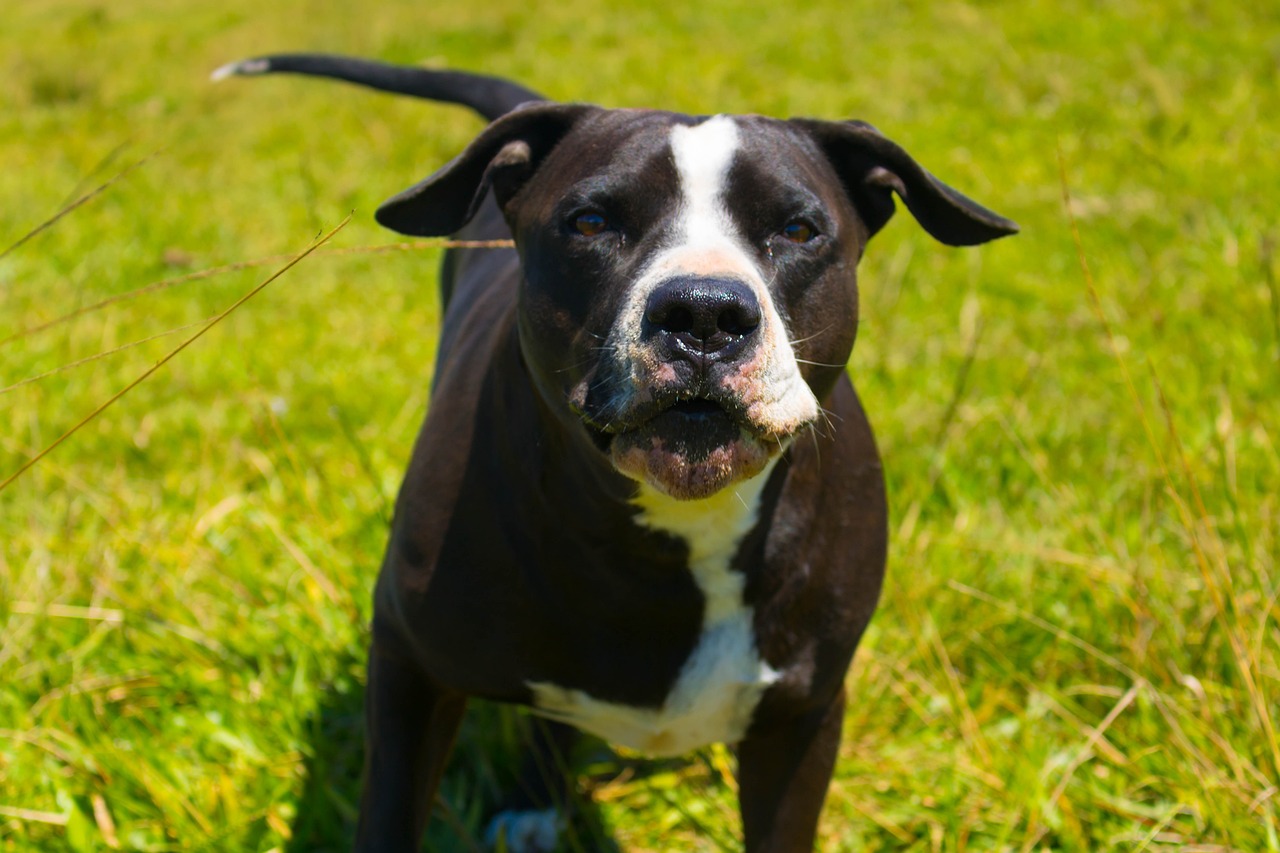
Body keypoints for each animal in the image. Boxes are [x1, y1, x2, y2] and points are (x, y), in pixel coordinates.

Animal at [215, 54, 1013, 850]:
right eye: (592, 222)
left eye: (797, 229)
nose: (704, 312)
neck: (670, 538)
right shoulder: (411, 667)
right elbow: (388, 815)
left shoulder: (801, 720)